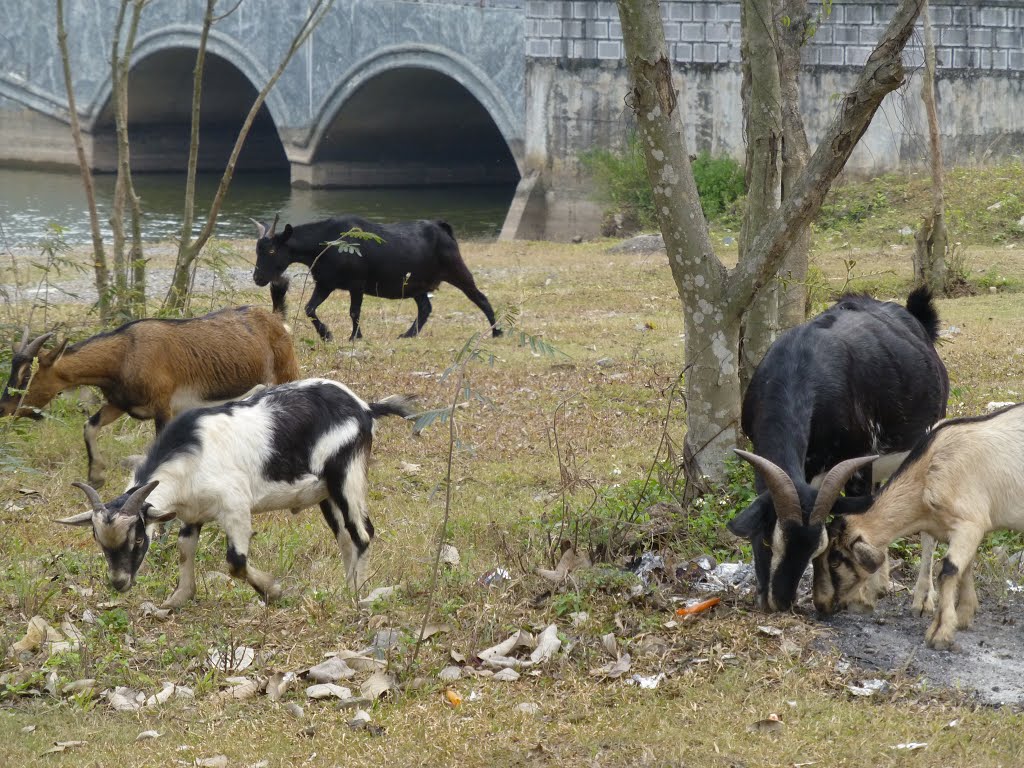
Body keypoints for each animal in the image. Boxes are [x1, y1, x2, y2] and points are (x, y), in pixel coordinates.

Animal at [0, 307, 299, 487]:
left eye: (25, 376)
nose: (4, 408)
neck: (124, 354)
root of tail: (276, 319)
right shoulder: (119, 403)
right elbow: (89, 426)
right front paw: (96, 475)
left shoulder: (163, 407)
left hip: (286, 373)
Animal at [56, 382, 413, 610]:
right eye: (100, 542)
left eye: (139, 539)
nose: (119, 582)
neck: (192, 452)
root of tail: (364, 407)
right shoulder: (192, 513)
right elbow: (185, 549)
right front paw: (179, 598)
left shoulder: (235, 506)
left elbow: (236, 562)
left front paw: (273, 591)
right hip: (326, 493)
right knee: (344, 536)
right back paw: (345, 587)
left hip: (345, 474)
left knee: (362, 533)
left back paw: (357, 595)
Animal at [251, 214, 499, 339]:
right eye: (257, 250)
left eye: (271, 251)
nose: (258, 278)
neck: (327, 243)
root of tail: (441, 227)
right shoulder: (325, 283)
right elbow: (309, 308)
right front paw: (326, 335)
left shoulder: (357, 284)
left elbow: (354, 311)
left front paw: (355, 337)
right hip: (415, 284)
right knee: (425, 307)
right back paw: (408, 334)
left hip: (456, 269)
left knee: (479, 297)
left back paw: (497, 331)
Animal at [724, 288, 946, 614]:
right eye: (765, 541)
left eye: (814, 548)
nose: (780, 602)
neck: (799, 366)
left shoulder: (858, 461)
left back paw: (921, 598)